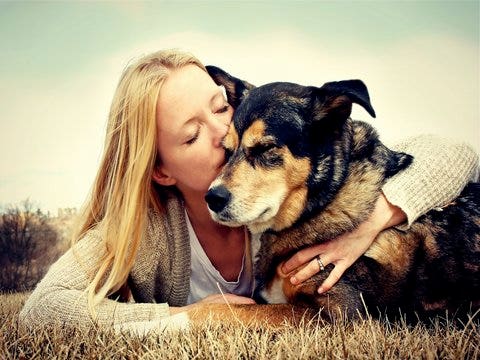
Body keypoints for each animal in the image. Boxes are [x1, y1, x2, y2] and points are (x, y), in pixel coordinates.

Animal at [205, 65, 480, 320]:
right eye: (226, 150)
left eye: (266, 147)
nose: (212, 198)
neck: (323, 201)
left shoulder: (336, 313)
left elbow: (223, 311)